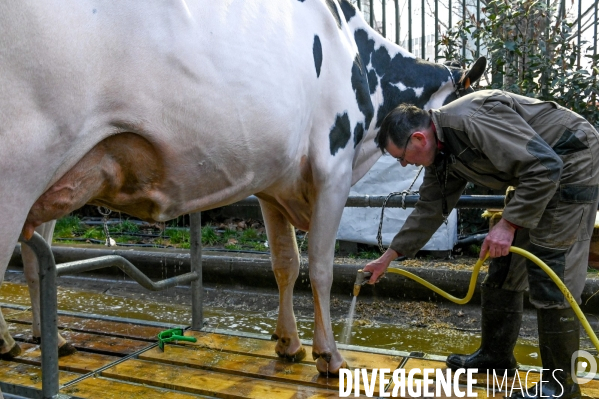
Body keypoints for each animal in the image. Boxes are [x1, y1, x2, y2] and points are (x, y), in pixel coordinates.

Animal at [0, 0, 486, 376]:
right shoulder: (333, 166)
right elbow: (321, 267)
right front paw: (328, 355)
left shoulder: (273, 183)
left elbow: (285, 264)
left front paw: (288, 345)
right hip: (21, 165)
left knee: (31, 258)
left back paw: (46, 340)